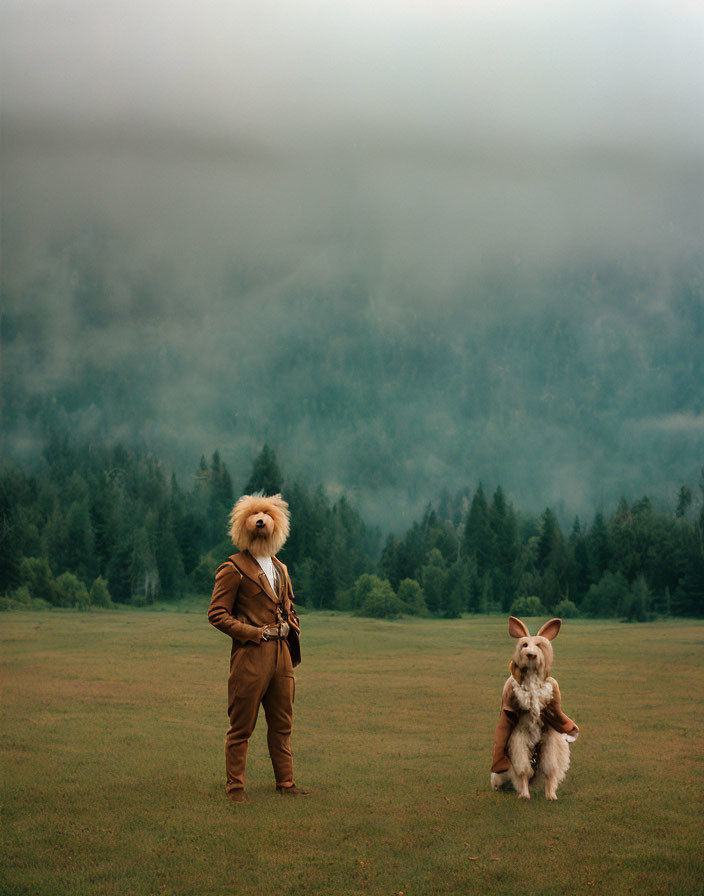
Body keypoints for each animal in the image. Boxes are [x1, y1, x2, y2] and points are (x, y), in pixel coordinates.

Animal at [490, 620, 576, 800]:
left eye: (538, 645)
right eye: (524, 644)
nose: (530, 655)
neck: (532, 679)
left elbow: (550, 770)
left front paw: (551, 795)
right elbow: (522, 770)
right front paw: (524, 794)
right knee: (521, 771)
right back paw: (519, 792)